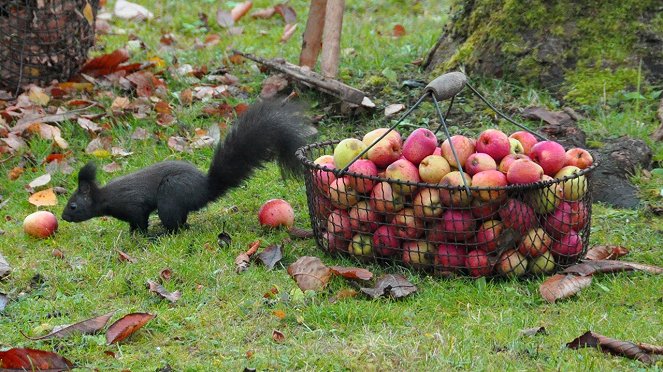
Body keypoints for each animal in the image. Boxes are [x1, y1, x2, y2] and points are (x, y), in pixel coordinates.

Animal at [61, 99, 316, 232]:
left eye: (73, 205)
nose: (63, 217)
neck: (105, 197)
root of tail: (205, 189)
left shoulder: (133, 204)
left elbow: (140, 220)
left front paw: (139, 235)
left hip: (170, 195)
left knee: (176, 225)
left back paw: (161, 234)